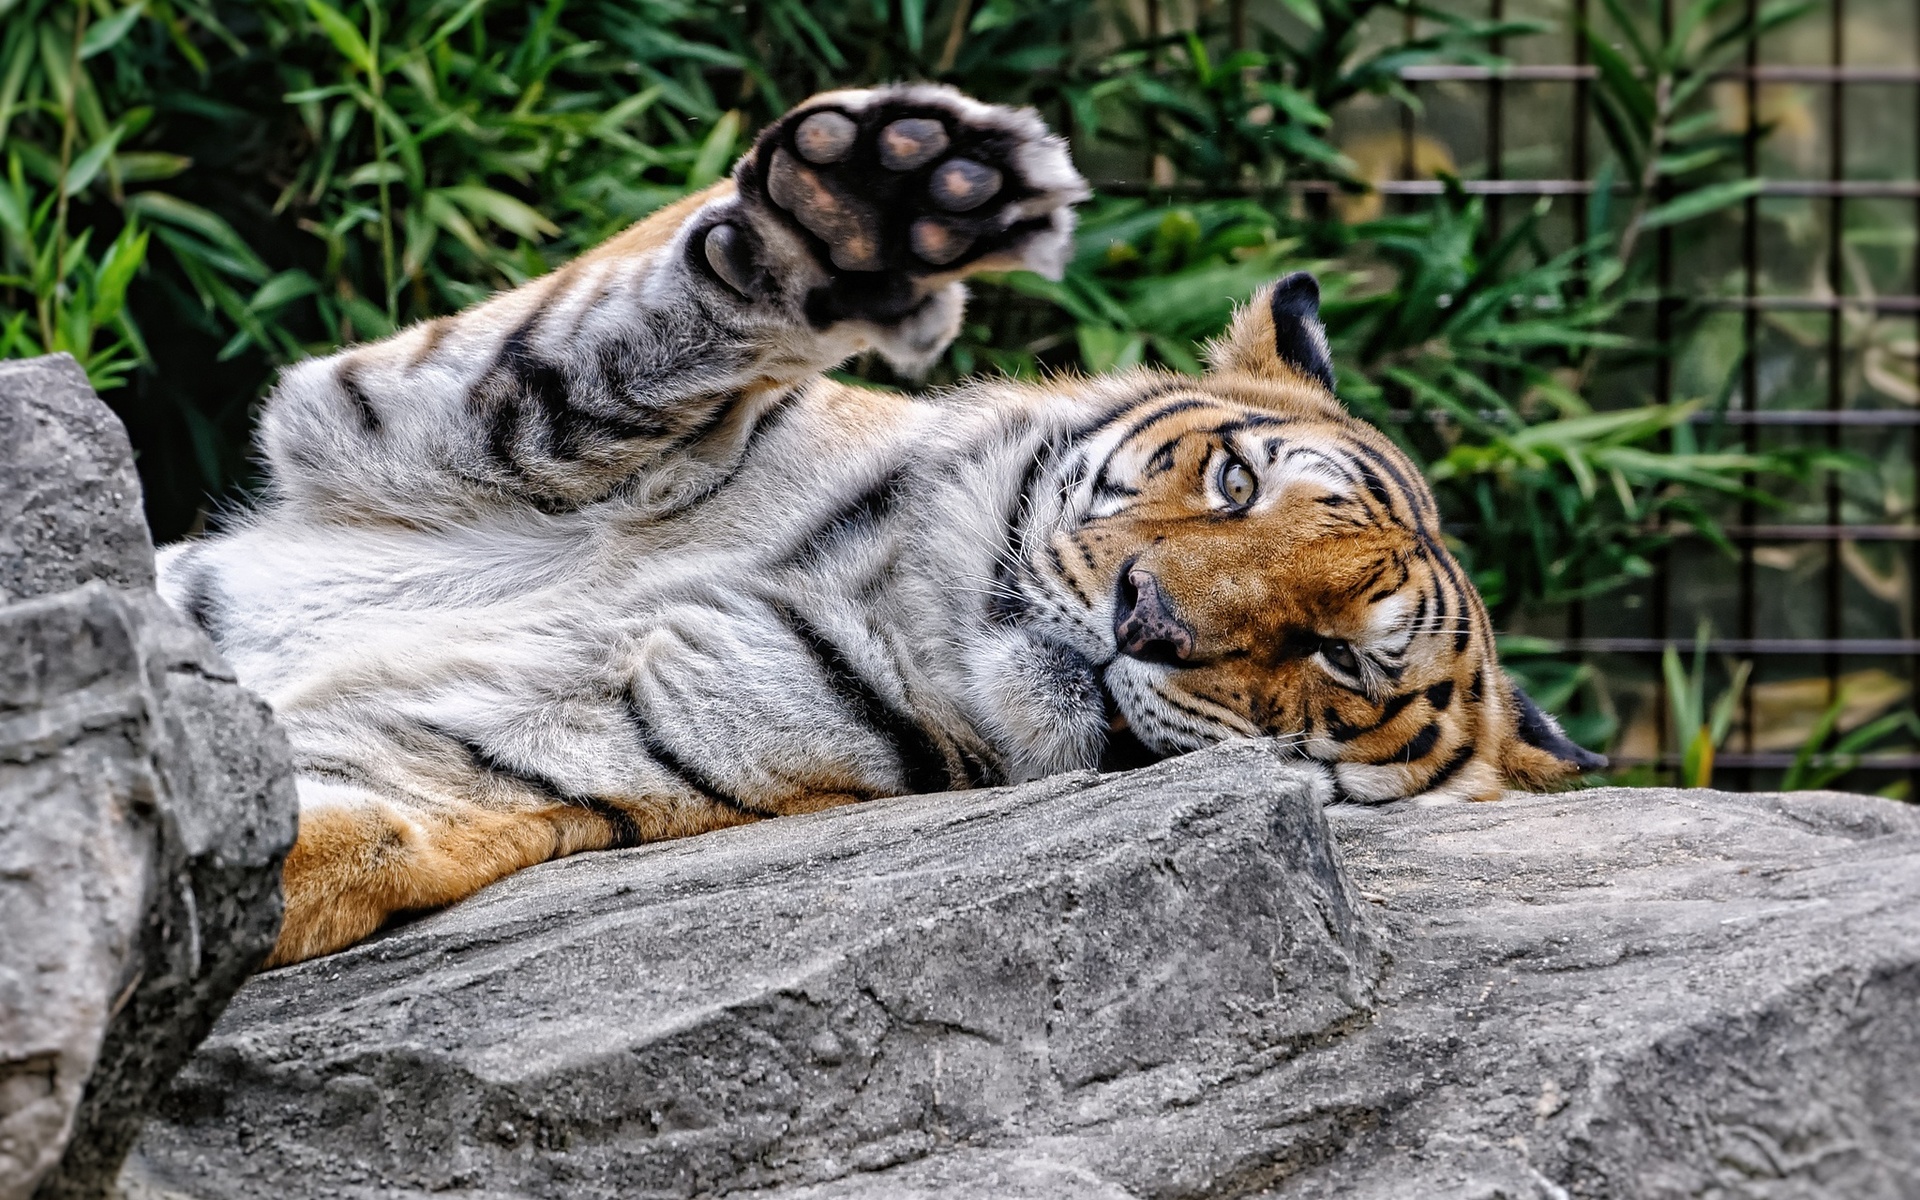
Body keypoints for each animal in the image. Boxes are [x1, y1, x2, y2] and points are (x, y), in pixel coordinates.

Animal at [161, 84, 1605, 963]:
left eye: (1341, 660)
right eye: (1237, 487)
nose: (1148, 619)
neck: (877, 586)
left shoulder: (493, 759)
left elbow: (303, 840)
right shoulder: (377, 416)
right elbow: (601, 340)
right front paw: (870, 207)